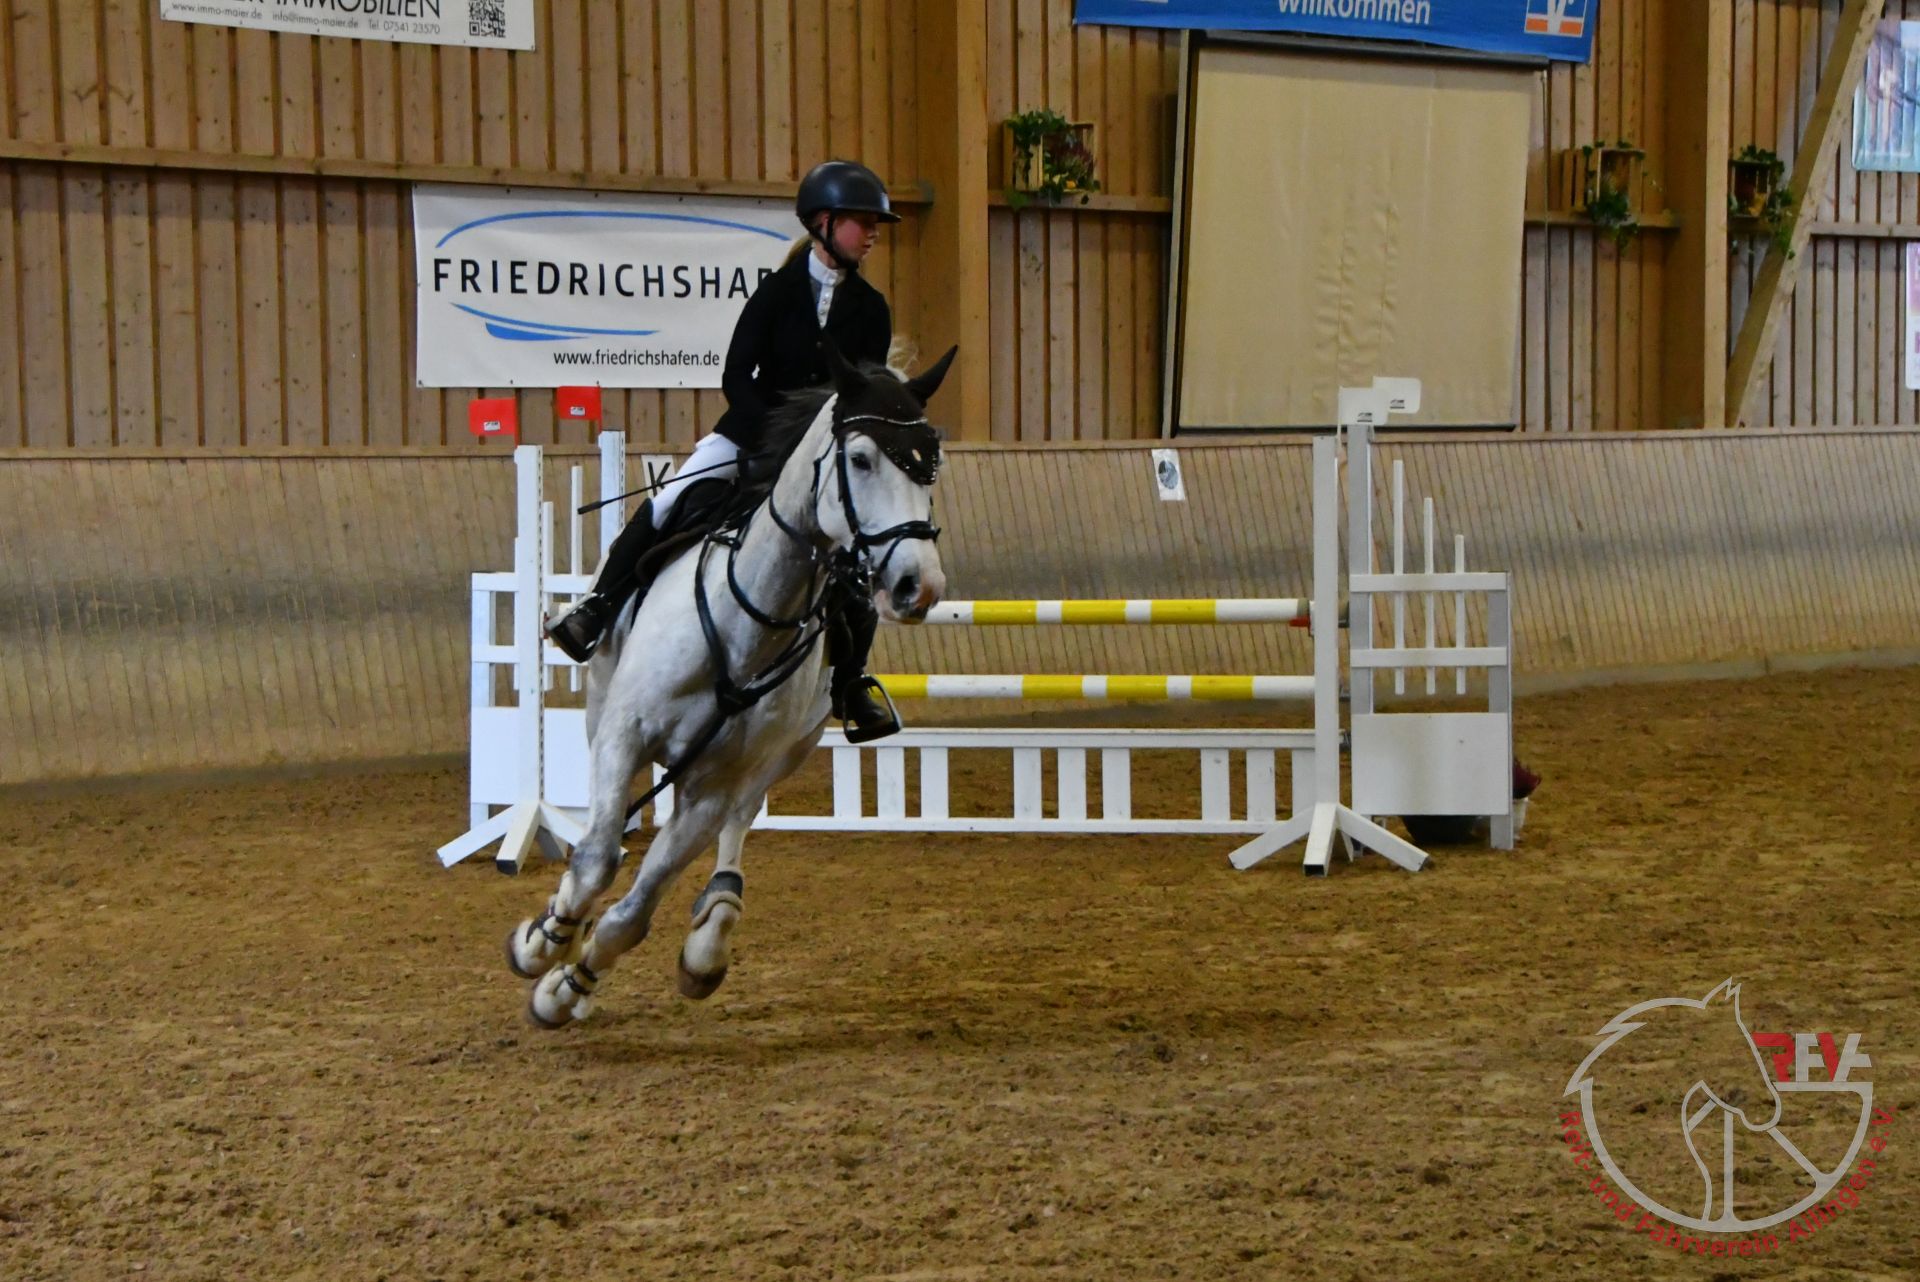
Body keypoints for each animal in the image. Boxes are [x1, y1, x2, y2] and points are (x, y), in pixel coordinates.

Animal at [505, 341, 956, 1029]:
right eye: (860, 458)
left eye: (930, 462)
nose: (917, 586)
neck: (752, 616)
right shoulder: (624, 734)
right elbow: (596, 860)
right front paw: (543, 941)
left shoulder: (714, 784)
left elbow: (636, 911)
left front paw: (566, 986)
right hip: (606, 706)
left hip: (783, 752)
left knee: (738, 827)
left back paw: (713, 927)